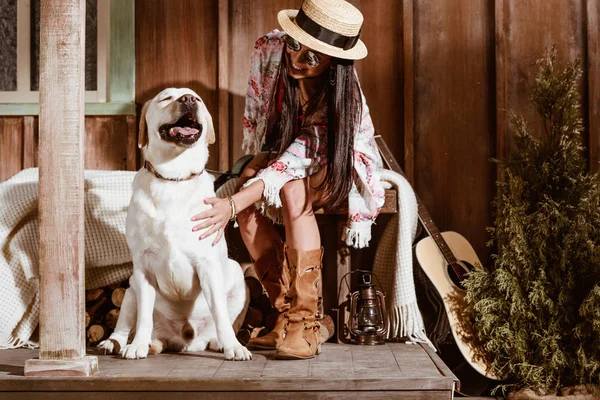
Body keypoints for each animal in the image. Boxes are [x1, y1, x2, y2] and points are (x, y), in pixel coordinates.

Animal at [98, 88, 251, 362]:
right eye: (166, 98)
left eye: (197, 98)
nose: (188, 99)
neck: (174, 178)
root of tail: (186, 342)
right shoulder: (143, 268)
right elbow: (144, 316)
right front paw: (137, 345)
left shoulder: (207, 264)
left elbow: (221, 314)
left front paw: (234, 347)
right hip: (131, 287)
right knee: (126, 322)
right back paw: (118, 342)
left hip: (235, 274)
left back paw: (218, 342)